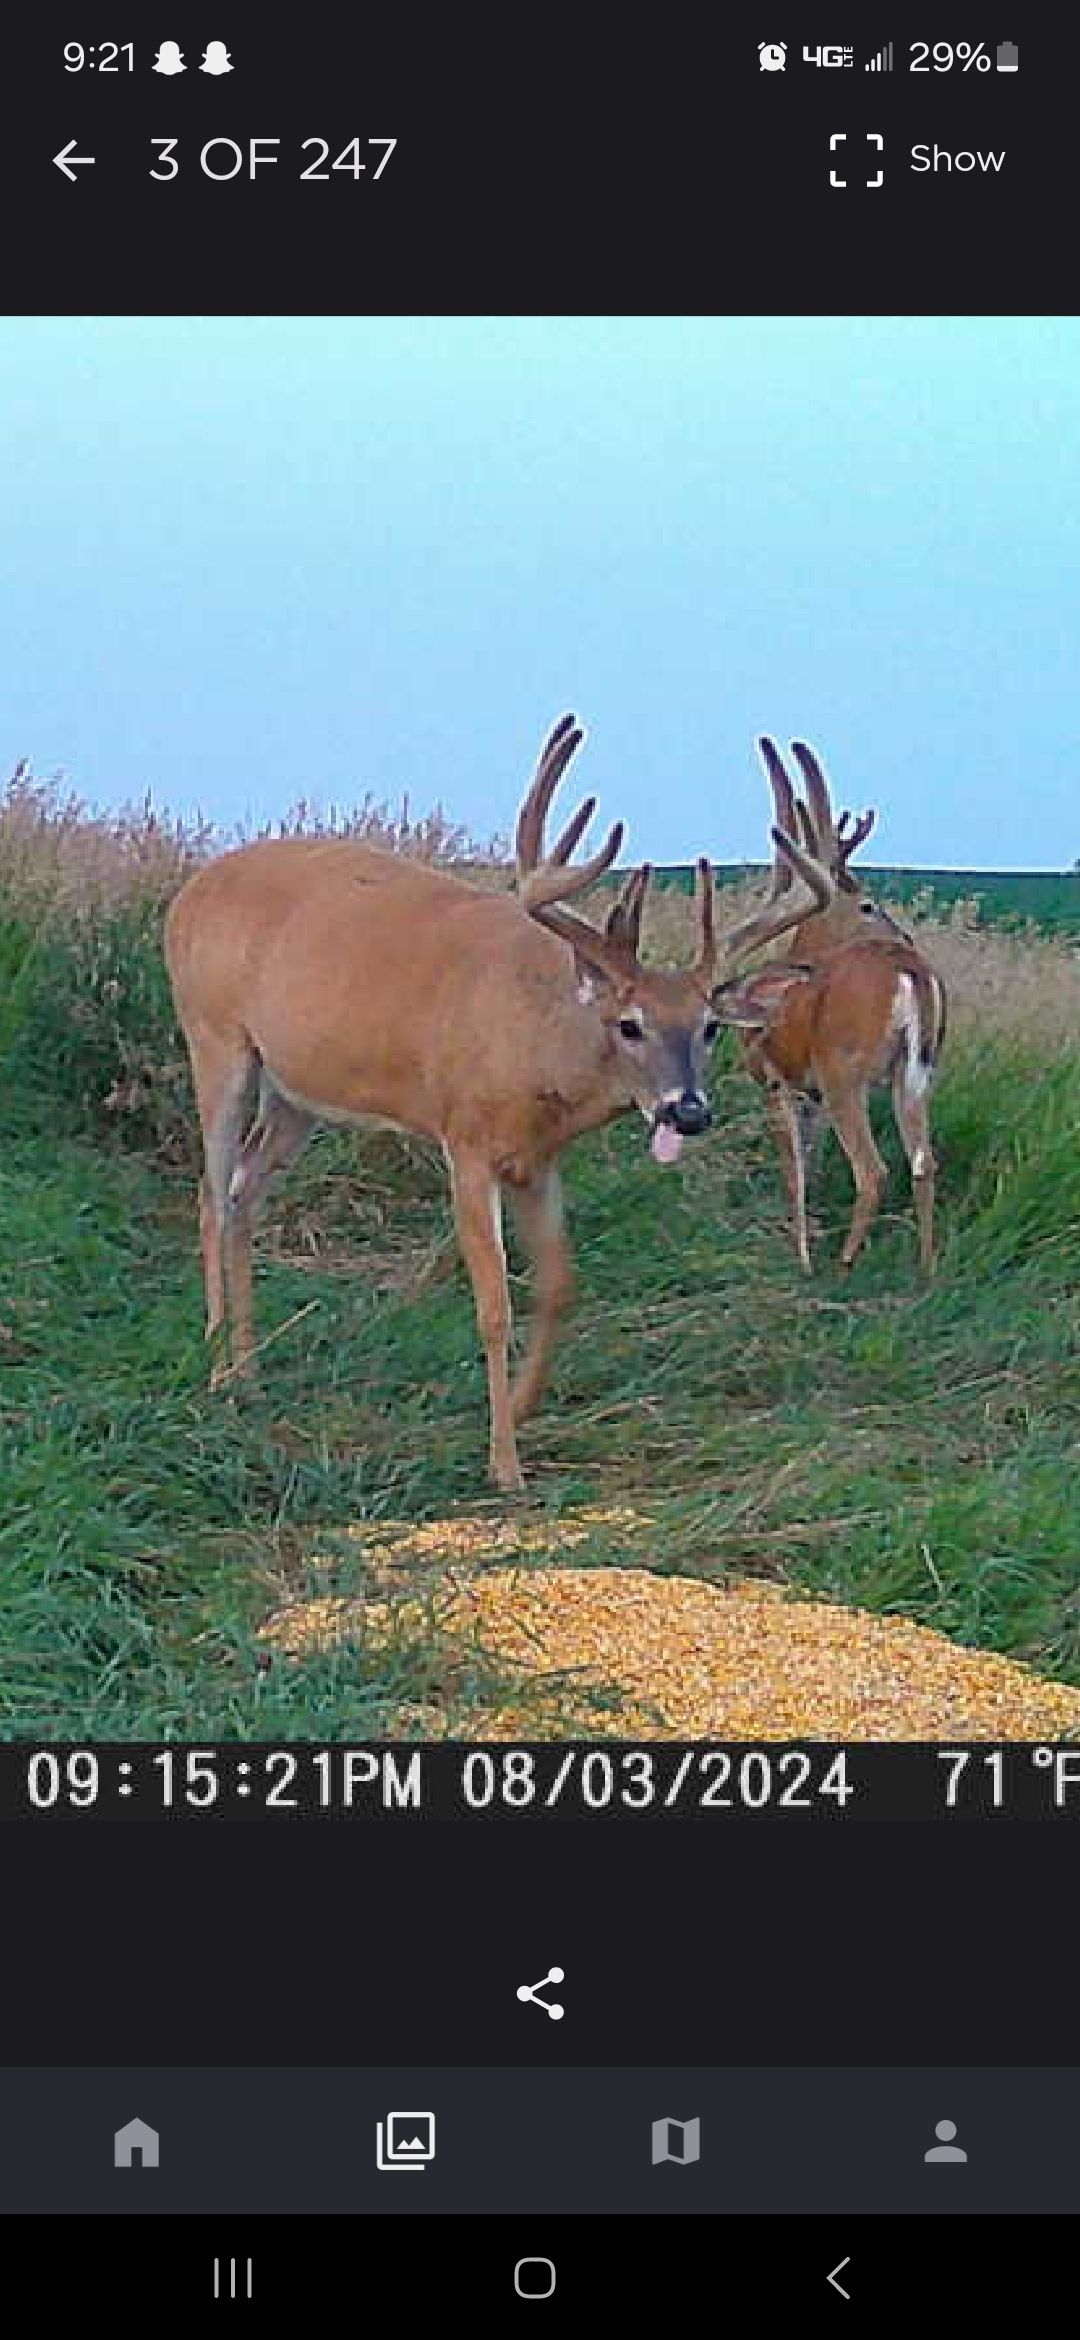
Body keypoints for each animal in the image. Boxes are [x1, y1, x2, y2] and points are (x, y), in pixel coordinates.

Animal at [164, 714, 836, 1491]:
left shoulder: (537, 1160)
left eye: (710, 1027)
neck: (540, 1044)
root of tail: (186, 894)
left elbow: (559, 1287)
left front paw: (517, 1408)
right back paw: (217, 1368)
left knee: (243, 1191)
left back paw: (248, 1371)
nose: (687, 1111)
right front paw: (504, 1464)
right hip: (215, 1037)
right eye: (629, 1024)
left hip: (296, 1092)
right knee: (211, 1194)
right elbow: (493, 1304)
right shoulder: (466, 1141)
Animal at [712, 738, 946, 1277]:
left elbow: (793, 1167)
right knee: (923, 1161)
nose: (905, 934)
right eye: (869, 906)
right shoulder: (811, 1092)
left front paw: (800, 1251)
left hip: (846, 1069)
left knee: (873, 1169)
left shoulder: (774, 1079)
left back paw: (843, 1263)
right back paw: (926, 1269)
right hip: (913, 1071)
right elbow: (812, 1160)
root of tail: (909, 970)